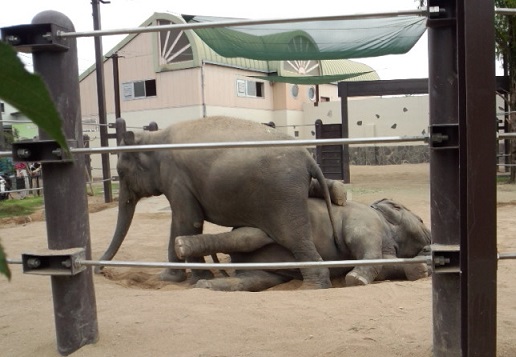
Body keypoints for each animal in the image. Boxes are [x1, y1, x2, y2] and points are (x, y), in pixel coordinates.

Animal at [97, 115, 338, 288]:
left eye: (121, 172)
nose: (98, 271)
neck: (153, 138)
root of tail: (308, 157)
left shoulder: (176, 178)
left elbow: (187, 222)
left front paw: (189, 279)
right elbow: (183, 223)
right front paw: (174, 278)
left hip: (284, 195)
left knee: (295, 238)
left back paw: (313, 286)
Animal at [174, 196, 432, 290]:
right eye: (420, 219)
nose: (430, 241)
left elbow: (387, 263)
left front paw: (421, 268)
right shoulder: (366, 222)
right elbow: (365, 248)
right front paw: (355, 280)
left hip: (265, 271)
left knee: (252, 278)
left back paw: (206, 286)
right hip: (269, 225)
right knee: (248, 237)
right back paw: (182, 246)